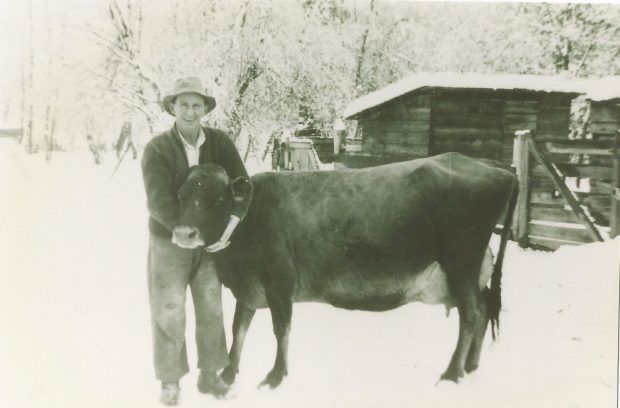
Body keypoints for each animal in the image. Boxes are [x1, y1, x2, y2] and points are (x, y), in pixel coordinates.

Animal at [173, 152, 520, 388]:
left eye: (216, 199)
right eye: (182, 196)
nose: (183, 233)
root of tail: (492, 166)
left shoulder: (280, 281)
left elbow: (280, 329)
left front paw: (275, 375)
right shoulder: (249, 286)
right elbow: (238, 328)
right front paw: (229, 372)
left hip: (461, 261)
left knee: (471, 312)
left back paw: (451, 373)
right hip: (472, 270)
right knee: (484, 307)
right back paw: (471, 365)